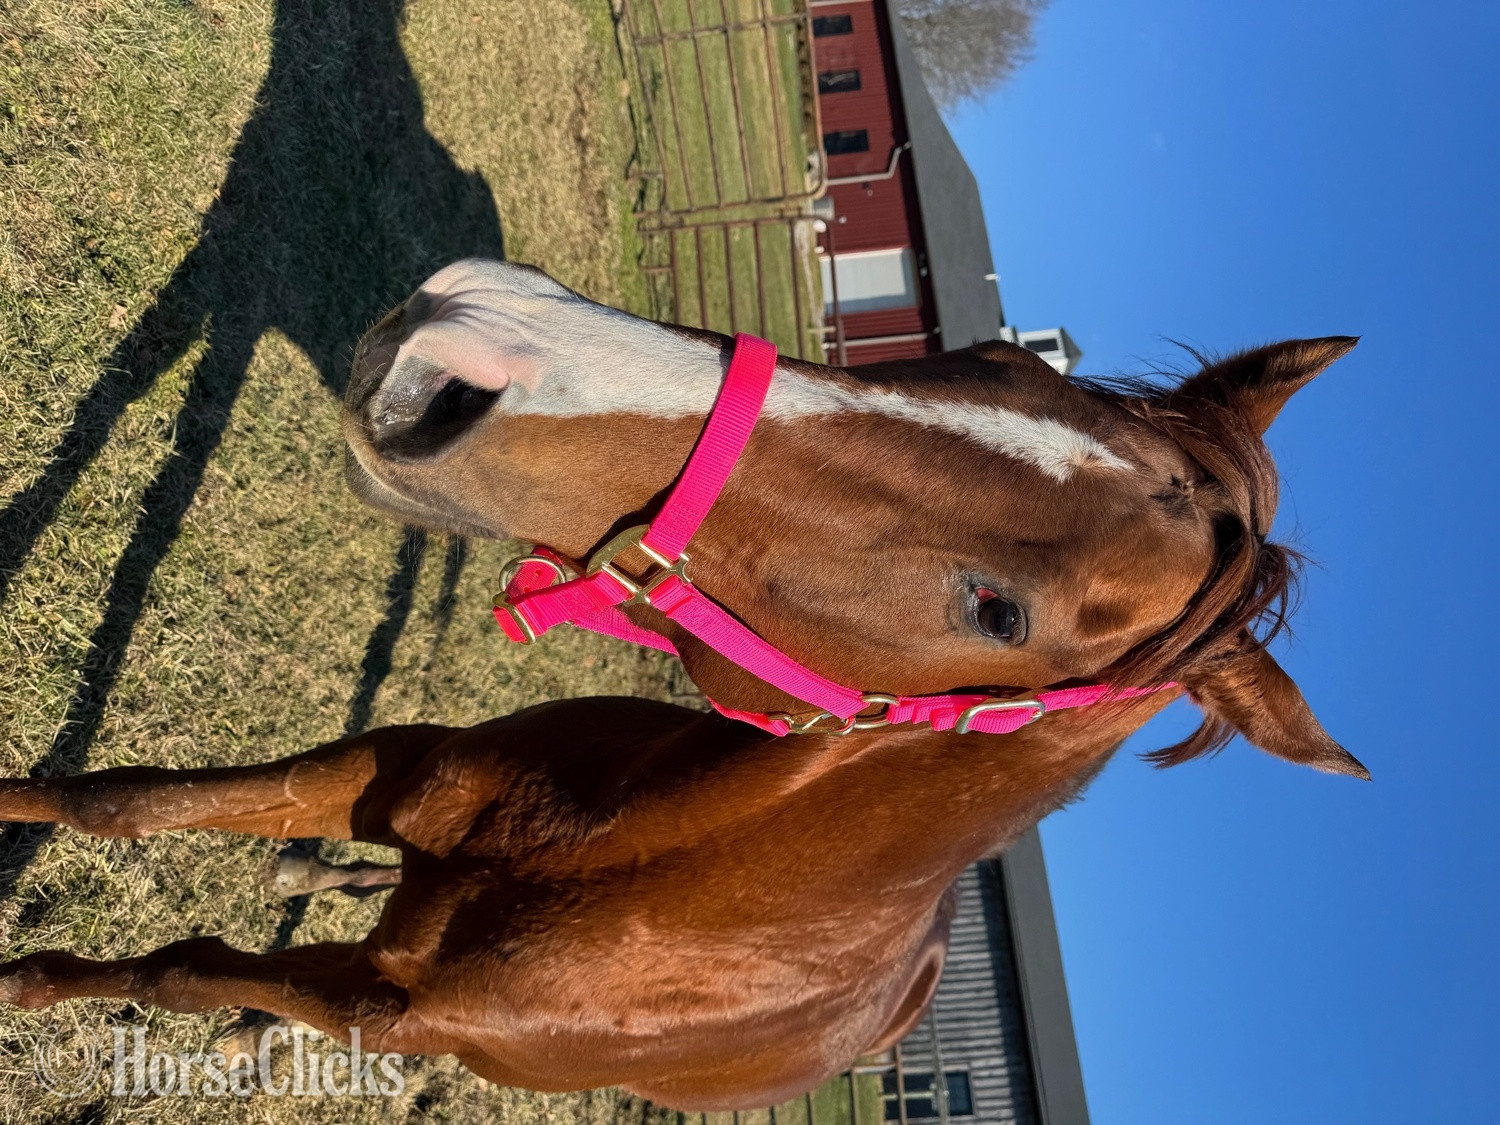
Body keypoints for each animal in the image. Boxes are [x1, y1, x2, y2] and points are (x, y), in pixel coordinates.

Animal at [0, 260, 1364, 1108]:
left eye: (999, 611)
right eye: (983, 356)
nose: (476, 331)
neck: (628, 861)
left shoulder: (393, 1013)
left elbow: (183, 968)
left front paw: (41, 984)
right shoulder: (389, 766)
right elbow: (124, 801)